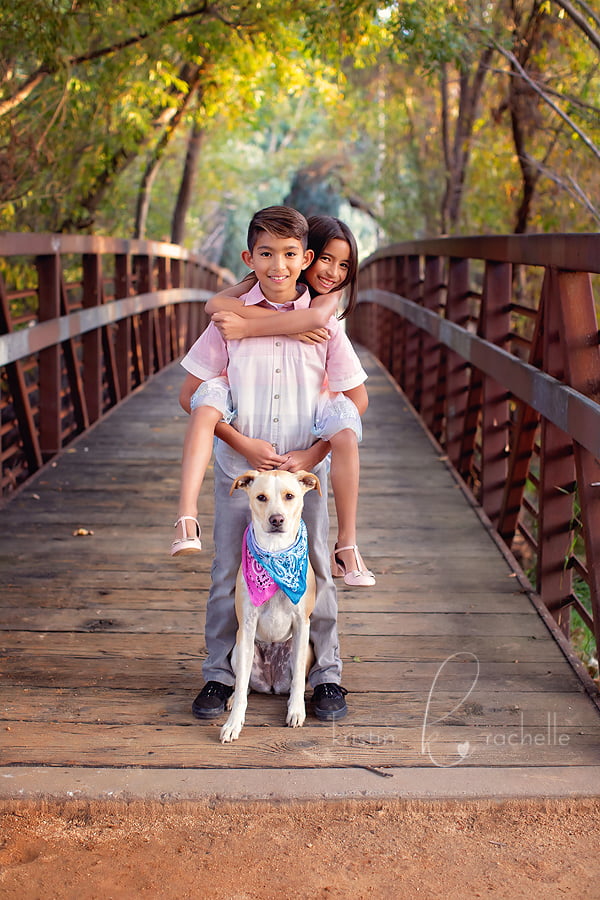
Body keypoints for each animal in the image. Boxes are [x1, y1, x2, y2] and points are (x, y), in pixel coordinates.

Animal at [220, 468, 322, 740]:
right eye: (261, 497)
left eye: (289, 496)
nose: (277, 519)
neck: (276, 554)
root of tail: (271, 683)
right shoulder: (246, 625)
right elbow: (241, 685)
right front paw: (233, 724)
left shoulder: (302, 623)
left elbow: (298, 682)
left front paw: (296, 711)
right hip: (238, 650)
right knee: (244, 685)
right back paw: (233, 698)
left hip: (305, 650)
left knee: (294, 681)